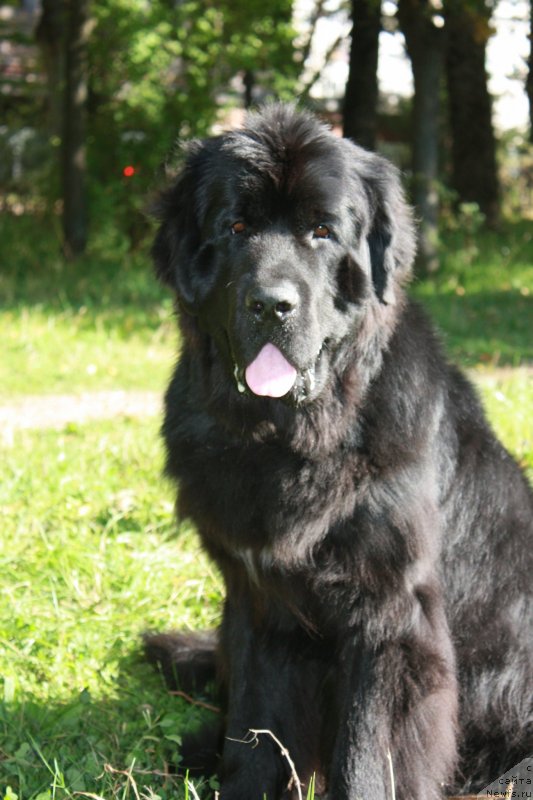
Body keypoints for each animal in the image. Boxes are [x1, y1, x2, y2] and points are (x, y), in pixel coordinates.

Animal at [143, 106, 528, 800]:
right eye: (235, 227)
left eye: (322, 231)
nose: (272, 304)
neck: (292, 439)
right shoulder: (257, 598)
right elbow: (255, 727)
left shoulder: (389, 614)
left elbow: (371, 750)